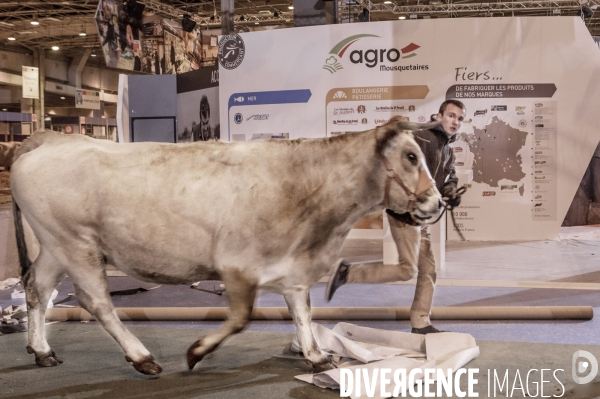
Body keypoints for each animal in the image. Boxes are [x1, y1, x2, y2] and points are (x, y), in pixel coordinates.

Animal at [8, 117, 440, 376]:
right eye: (411, 156)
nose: (438, 204)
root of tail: (47, 139)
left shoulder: (294, 265)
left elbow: (301, 309)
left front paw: (316, 355)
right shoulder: (237, 265)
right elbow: (240, 318)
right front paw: (196, 352)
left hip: (54, 246)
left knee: (37, 287)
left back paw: (41, 350)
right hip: (76, 244)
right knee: (96, 301)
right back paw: (142, 357)